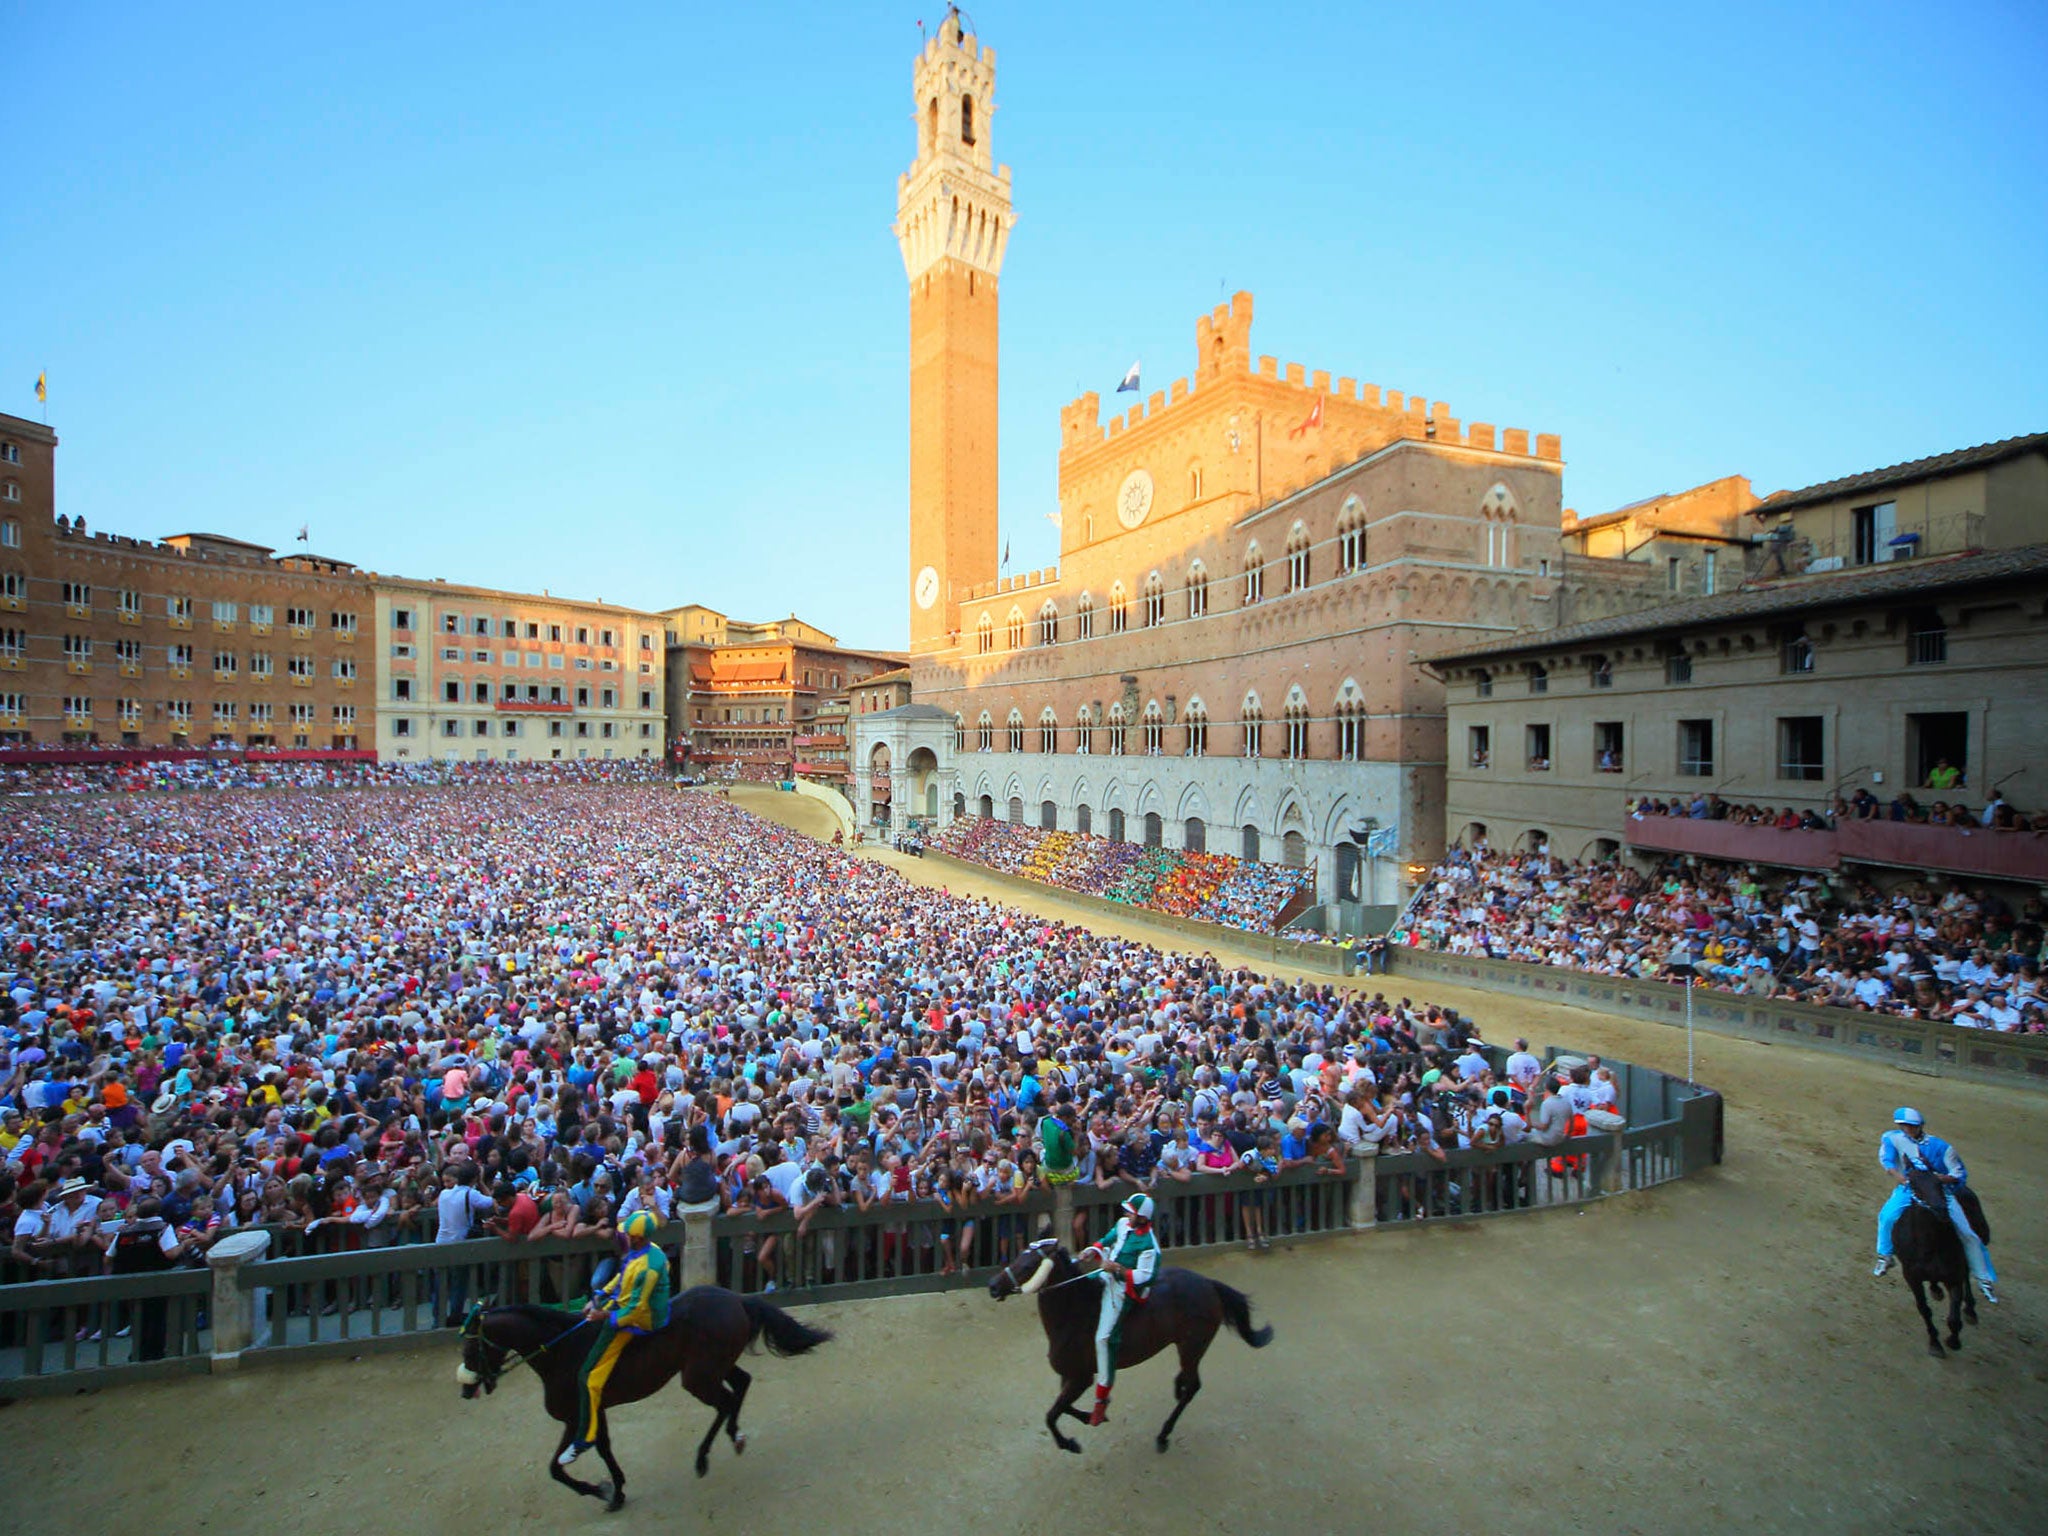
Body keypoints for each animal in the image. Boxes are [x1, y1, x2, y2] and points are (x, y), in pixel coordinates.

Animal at [462, 1286, 831, 1515]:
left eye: (470, 1346)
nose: (466, 1390)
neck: (561, 1350)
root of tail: (737, 1299)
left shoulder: (575, 1416)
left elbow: (556, 1468)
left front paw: (601, 1490)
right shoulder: (595, 1412)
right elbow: (604, 1448)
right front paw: (617, 1491)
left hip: (698, 1376)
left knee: (725, 1401)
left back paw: (703, 1458)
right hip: (714, 1366)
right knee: (741, 1385)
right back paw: (735, 1435)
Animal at [987, 1236, 1261, 1458]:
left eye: (1028, 1265)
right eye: (1017, 1256)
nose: (992, 1286)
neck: (1075, 1313)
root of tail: (1208, 1284)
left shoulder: (1081, 1378)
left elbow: (1052, 1414)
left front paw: (1070, 1443)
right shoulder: (1069, 1376)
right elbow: (1064, 1407)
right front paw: (1095, 1414)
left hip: (1192, 1346)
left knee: (1193, 1386)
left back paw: (1163, 1435)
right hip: (1187, 1347)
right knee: (1186, 1380)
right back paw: (1176, 1388)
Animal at [1892, 1163, 1974, 1359]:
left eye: (1939, 1183)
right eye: (1914, 1186)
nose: (1941, 1210)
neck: (1930, 1245)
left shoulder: (1954, 1277)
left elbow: (1954, 1316)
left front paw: (1953, 1340)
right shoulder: (1911, 1277)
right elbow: (1924, 1309)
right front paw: (1935, 1343)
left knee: (1968, 1274)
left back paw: (1970, 1309)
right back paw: (1936, 1289)